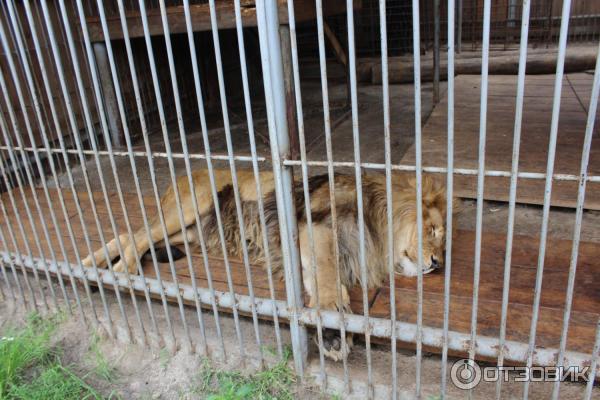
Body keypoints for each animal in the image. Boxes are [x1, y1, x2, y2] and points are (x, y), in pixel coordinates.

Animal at [84, 169, 450, 360]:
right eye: (433, 230)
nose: (438, 263)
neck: (377, 216)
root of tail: (185, 171)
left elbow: (317, 279)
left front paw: (332, 332)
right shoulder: (315, 226)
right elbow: (327, 277)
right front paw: (332, 328)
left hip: (190, 232)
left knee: (130, 236)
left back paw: (93, 269)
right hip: (187, 209)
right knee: (134, 236)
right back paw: (117, 273)